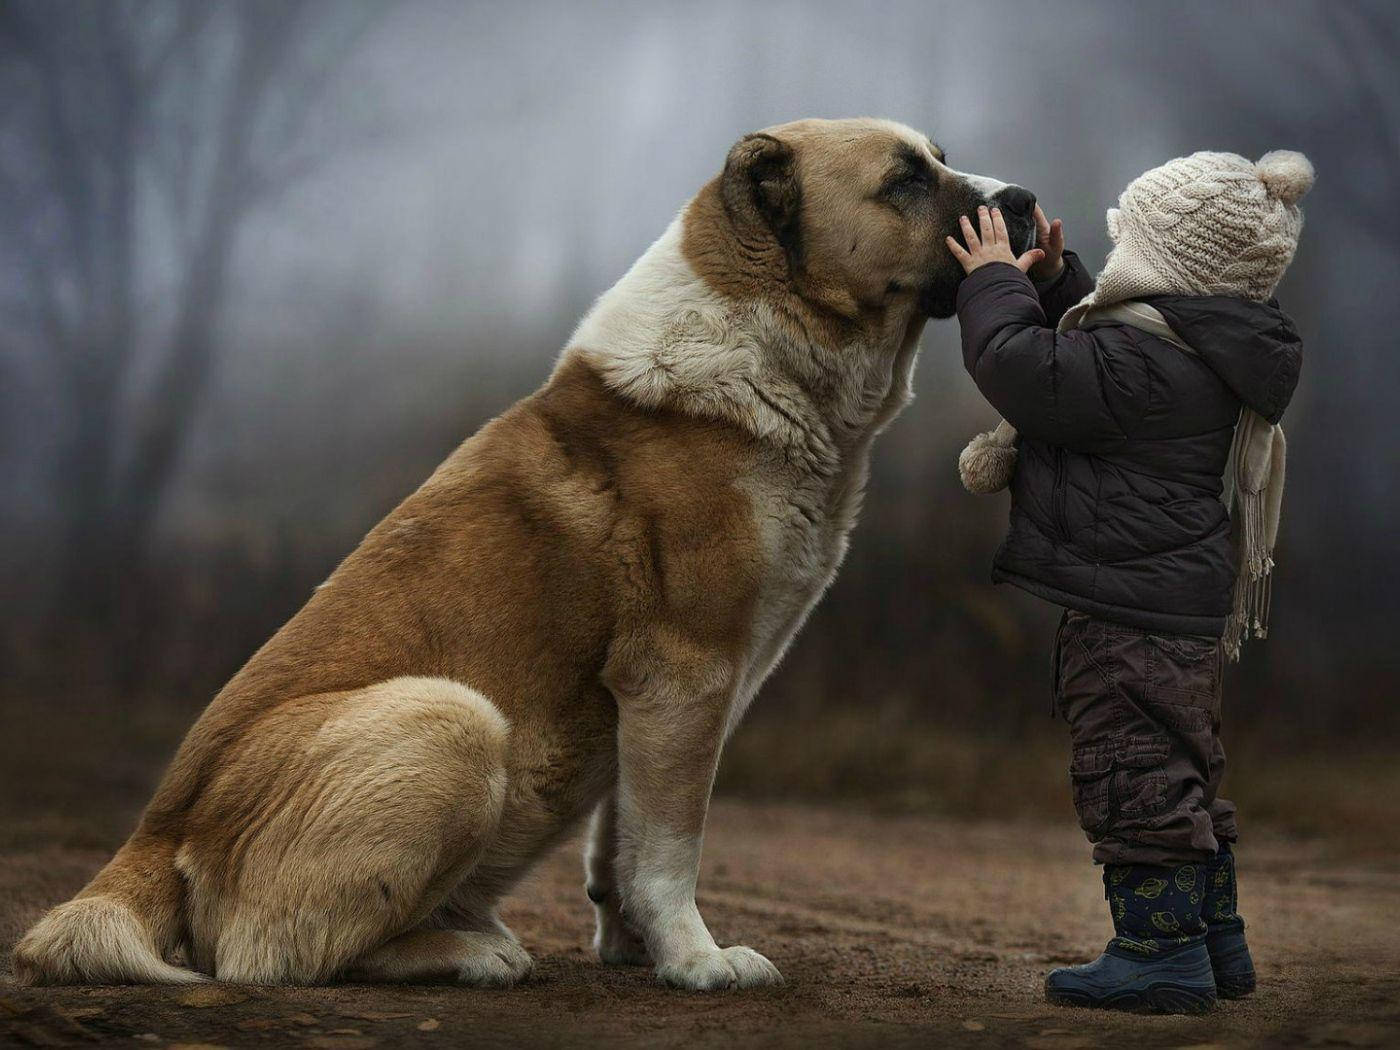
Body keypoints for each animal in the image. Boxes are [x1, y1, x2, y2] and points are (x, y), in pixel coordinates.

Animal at [16, 119, 1036, 991]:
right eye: (905, 180)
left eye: (942, 159)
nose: (1023, 200)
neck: (765, 343)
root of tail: (150, 839)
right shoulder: (686, 674)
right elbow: (672, 844)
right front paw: (698, 962)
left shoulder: (658, 701)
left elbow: (623, 837)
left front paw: (636, 947)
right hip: (454, 719)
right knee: (273, 956)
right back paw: (473, 952)